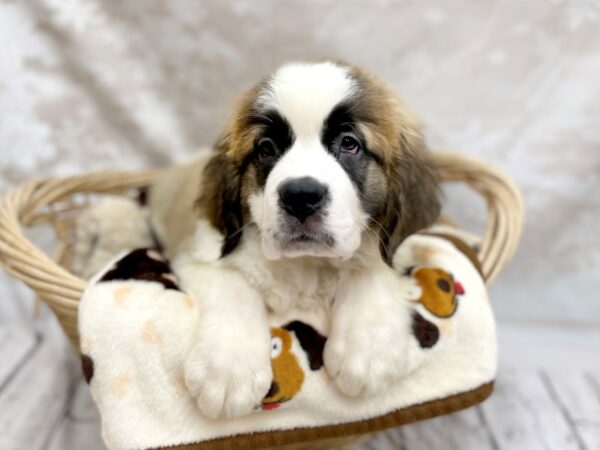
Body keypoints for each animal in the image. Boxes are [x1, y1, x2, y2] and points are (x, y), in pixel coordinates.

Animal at [149, 59, 440, 418]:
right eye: (266, 148)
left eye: (349, 143)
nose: (301, 196)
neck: (307, 263)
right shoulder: (200, 255)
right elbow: (235, 285)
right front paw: (228, 369)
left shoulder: (397, 247)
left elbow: (371, 269)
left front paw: (368, 350)